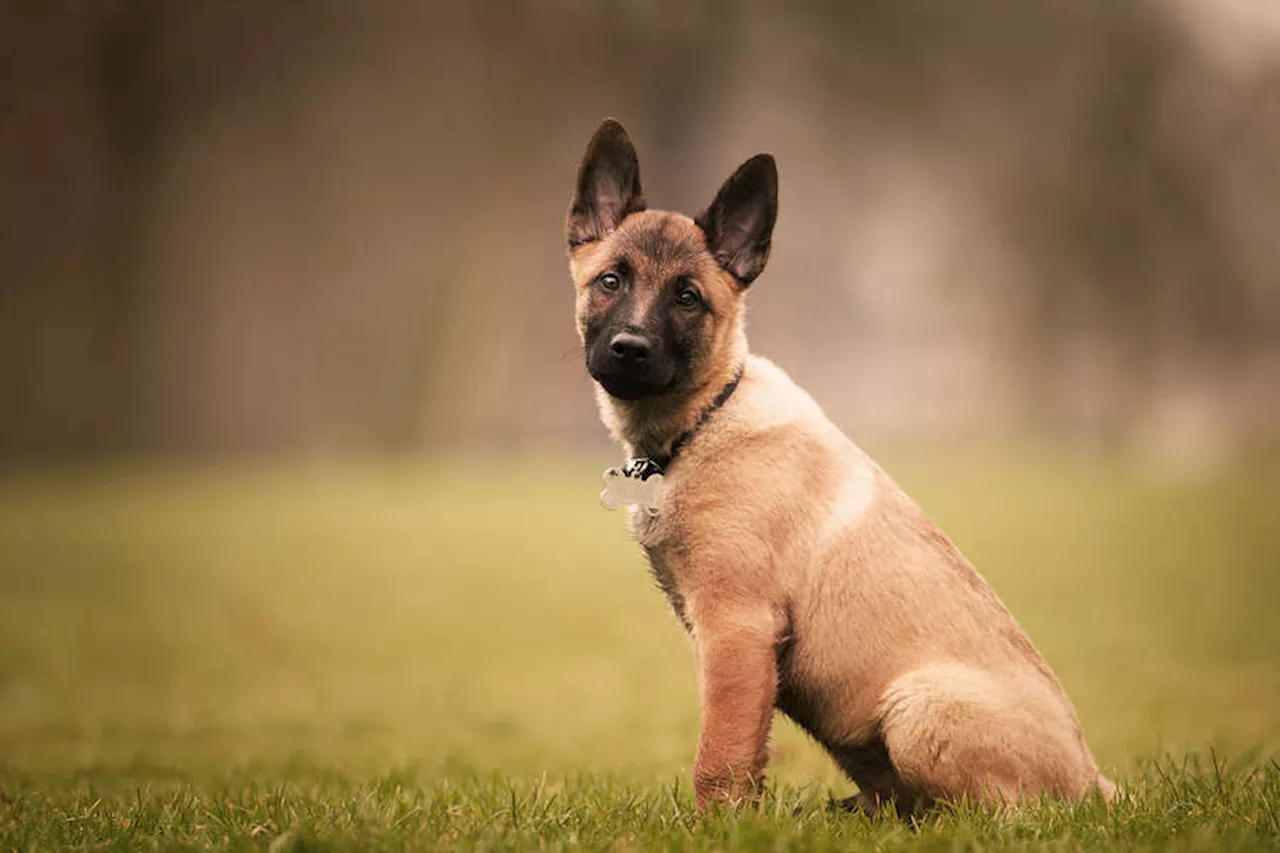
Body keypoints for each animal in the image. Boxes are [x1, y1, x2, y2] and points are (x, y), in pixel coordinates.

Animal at [565, 117, 1116, 809]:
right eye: (610, 281)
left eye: (688, 298)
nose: (629, 348)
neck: (704, 420)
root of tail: (1095, 781)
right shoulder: (724, 639)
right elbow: (741, 745)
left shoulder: (738, 628)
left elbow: (719, 754)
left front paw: (719, 822)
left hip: (918, 708)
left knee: (997, 814)